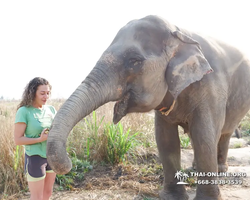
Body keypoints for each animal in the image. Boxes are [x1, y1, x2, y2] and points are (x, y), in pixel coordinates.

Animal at [46, 14, 250, 199]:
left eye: (134, 61)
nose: (68, 163)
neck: (179, 32)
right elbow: (165, 139)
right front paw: (171, 197)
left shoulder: (211, 85)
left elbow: (203, 135)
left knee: (224, 132)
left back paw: (220, 169)